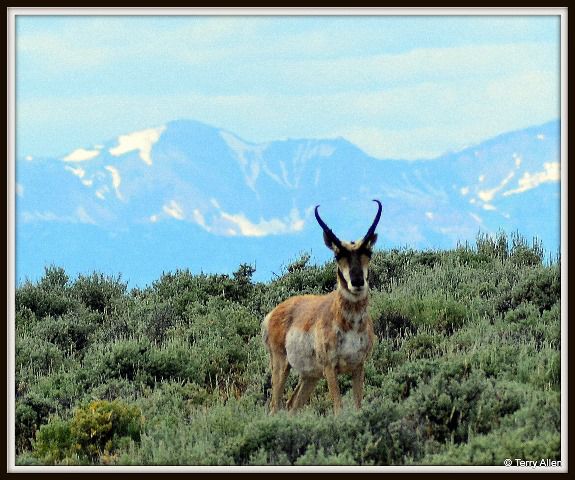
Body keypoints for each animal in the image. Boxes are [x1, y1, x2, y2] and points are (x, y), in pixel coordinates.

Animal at [262, 201, 382, 414]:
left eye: (368, 252)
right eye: (337, 255)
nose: (357, 281)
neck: (350, 324)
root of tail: (273, 313)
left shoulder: (358, 367)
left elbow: (358, 406)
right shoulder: (330, 368)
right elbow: (338, 409)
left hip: (310, 375)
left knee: (293, 404)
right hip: (281, 365)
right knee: (275, 405)